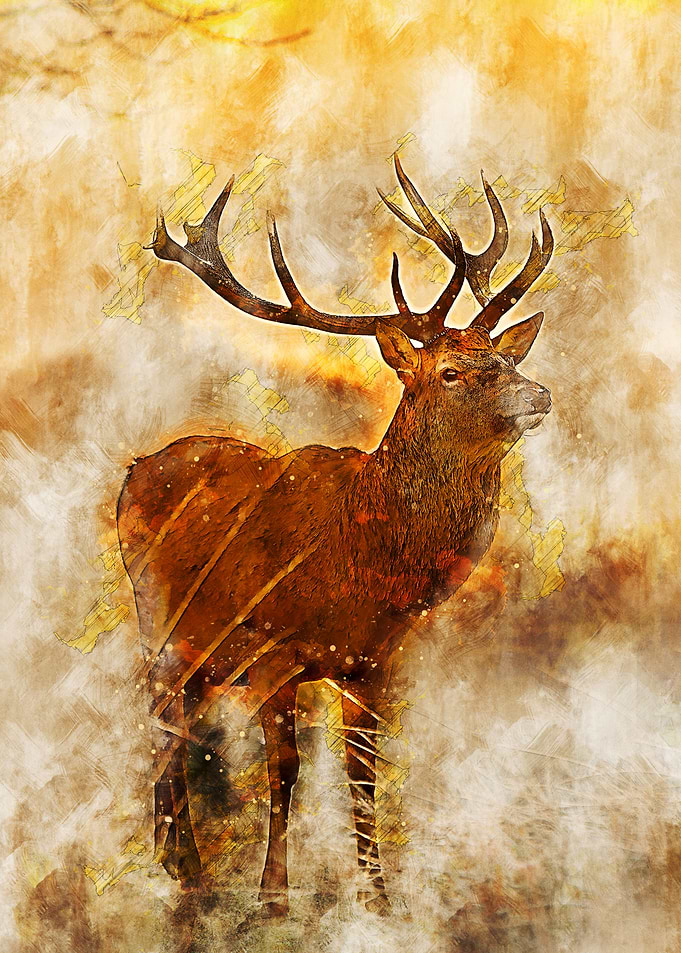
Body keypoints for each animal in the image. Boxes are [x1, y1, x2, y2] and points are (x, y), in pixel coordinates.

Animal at [116, 154, 554, 919]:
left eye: (504, 359)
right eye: (450, 371)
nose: (539, 395)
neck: (360, 565)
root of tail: (135, 468)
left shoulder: (372, 660)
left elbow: (362, 771)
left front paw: (378, 897)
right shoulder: (272, 647)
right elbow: (285, 771)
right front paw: (272, 898)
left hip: (201, 647)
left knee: (175, 719)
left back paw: (172, 858)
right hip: (157, 618)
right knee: (162, 718)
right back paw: (187, 870)